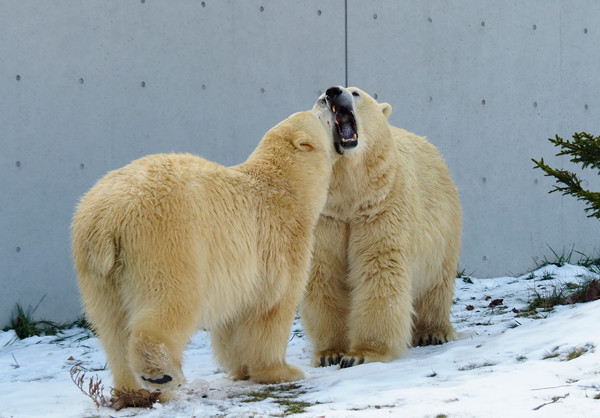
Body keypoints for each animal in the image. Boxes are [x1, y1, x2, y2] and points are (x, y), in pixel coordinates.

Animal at [71, 108, 338, 408]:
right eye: (320, 113)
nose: (328, 100)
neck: (287, 187)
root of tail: (107, 216)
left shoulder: (240, 271)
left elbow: (233, 322)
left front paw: (241, 370)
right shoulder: (279, 242)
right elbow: (271, 309)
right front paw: (282, 371)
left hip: (97, 271)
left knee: (112, 326)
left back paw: (135, 394)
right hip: (167, 241)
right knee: (170, 301)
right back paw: (162, 375)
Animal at [302, 86, 462, 368]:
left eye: (355, 92)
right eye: (321, 99)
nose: (333, 92)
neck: (351, 194)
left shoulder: (381, 205)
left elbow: (379, 267)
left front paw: (363, 354)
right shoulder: (328, 217)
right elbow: (325, 274)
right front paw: (330, 353)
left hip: (444, 224)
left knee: (436, 280)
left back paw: (433, 332)